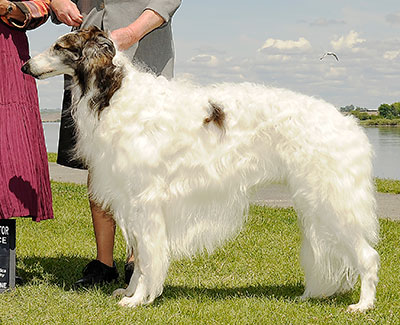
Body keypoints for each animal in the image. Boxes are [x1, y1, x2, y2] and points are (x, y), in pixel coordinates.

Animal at [21, 26, 378, 310]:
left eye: (59, 46)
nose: (26, 65)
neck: (115, 93)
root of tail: (348, 122)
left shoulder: (146, 200)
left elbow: (148, 257)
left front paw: (138, 299)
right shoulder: (131, 200)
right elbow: (141, 259)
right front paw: (131, 291)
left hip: (332, 200)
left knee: (369, 257)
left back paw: (363, 305)